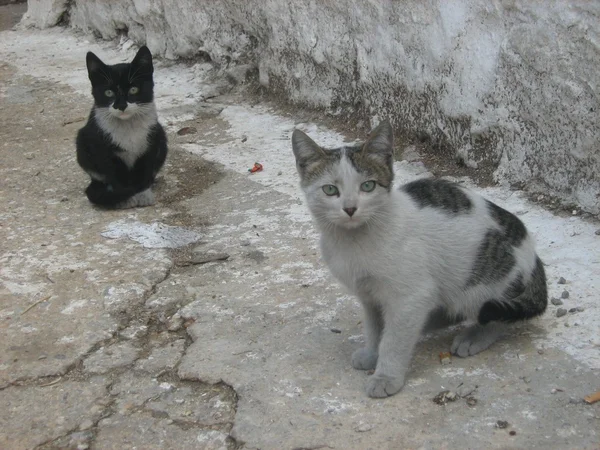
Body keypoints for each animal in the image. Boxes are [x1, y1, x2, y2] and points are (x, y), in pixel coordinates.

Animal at [77, 45, 169, 207]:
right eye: (108, 93)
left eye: (133, 90)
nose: (121, 105)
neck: (128, 127)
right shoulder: (101, 147)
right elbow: (115, 176)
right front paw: (125, 198)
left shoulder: (150, 142)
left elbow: (144, 172)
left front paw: (143, 194)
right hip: (82, 141)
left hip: (161, 135)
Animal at [292, 120, 548, 398]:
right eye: (330, 190)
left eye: (368, 186)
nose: (350, 209)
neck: (353, 242)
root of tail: (533, 254)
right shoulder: (369, 296)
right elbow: (375, 329)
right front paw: (372, 352)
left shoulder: (411, 295)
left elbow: (394, 341)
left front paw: (386, 377)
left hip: (477, 286)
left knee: (494, 315)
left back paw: (474, 336)